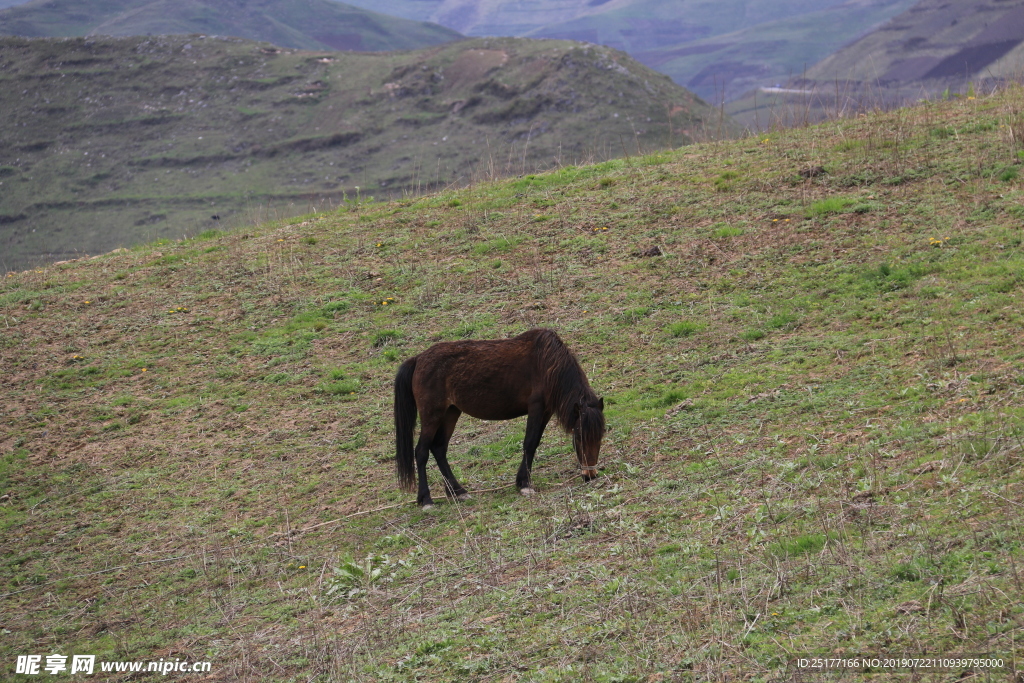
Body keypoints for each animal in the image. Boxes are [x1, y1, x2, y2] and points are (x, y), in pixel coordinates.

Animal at [389, 327, 598, 509]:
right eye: (579, 437)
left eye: (600, 437)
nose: (591, 474)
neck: (547, 363)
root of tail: (418, 359)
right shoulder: (536, 408)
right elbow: (529, 443)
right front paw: (525, 484)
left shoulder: (545, 411)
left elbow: (535, 442)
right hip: (432, 416)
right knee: (421, 451)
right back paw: (426, 500)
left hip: (450, 413)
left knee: (439, 449)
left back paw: (458, 491)